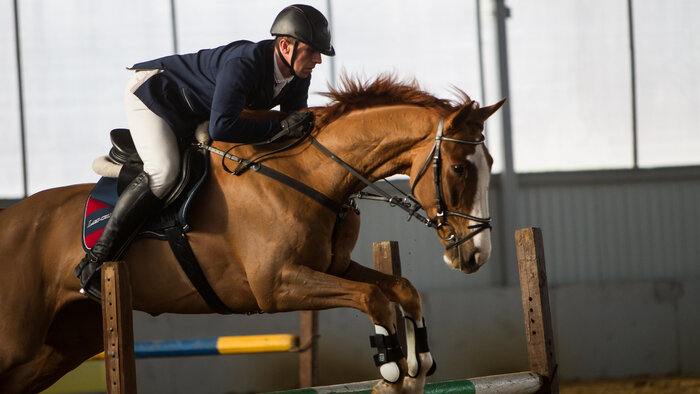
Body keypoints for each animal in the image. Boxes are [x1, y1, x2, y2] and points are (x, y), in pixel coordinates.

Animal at [0, 77, 504, 394]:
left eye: (491, 165)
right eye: (459, 169)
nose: (477, 254)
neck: (313, 176)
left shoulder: (332, 267)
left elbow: (401, 288)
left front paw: (418, 364)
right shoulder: (276, 286)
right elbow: (372, 298)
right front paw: (392, 363)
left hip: (60, 345)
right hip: (19, 342)